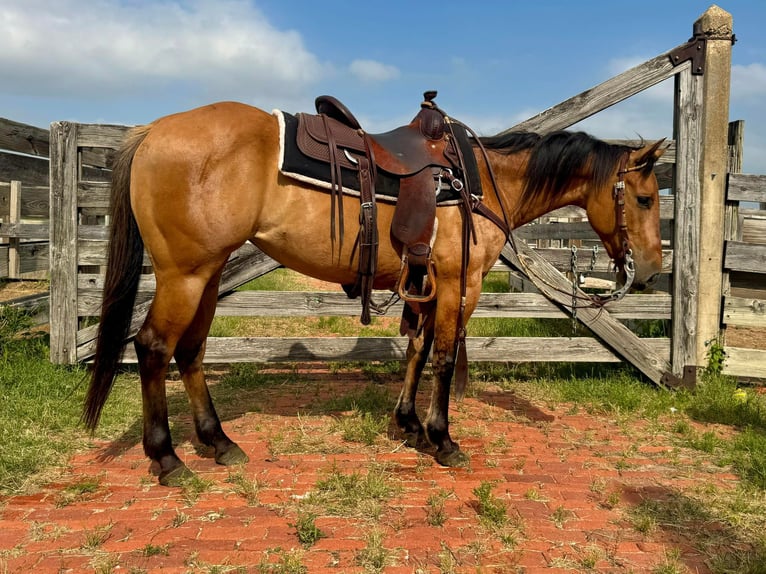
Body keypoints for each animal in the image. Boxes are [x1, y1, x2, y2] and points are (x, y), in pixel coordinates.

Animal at [81, 99, 664, 486]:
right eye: (644, 197)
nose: (652, 272)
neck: (482, 182)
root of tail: (153, 131)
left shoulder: (426, 283)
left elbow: (417, 350)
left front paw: (409, 425)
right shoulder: (460, 283)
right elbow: (444, 357)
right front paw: (443, 439)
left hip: (207, 272)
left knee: (191, 351)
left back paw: (219, 443)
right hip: (184, 273)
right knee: (154, 348)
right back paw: (167, 458)